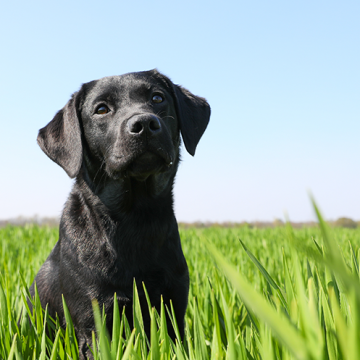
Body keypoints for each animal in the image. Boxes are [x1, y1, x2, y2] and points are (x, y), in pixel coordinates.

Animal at [31, 69, 212, 358]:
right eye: (101, 109)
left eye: (157, 97)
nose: (145, 123)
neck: (135, 219)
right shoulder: (94, 321)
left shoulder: (174, 306)